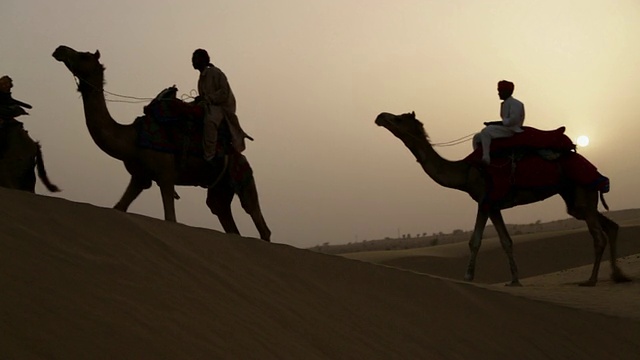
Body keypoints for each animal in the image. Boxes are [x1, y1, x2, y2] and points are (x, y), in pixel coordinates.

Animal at [51, 45, 268, 242]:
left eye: (84, 56)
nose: (59, 49)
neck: (132, 139)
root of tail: (241, 156)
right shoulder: (140, 176)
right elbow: (119, 207)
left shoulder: (166, 175)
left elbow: (170, 219)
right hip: (219, 190)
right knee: (222, 214)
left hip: (243, 177)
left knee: (257, 218)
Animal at [376, 111, 632, 286]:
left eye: (398, 119)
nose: (380, 116)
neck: (465, 172)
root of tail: (593, 168)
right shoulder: (494, 204)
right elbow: (506, 241)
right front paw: (515, 280)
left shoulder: (484, 199)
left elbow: (475, 240)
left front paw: (467, 277)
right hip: (575, 198)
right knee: (610, 225)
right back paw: (618, 275)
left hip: (581, 192)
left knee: (598, 235)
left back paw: (591, 280)